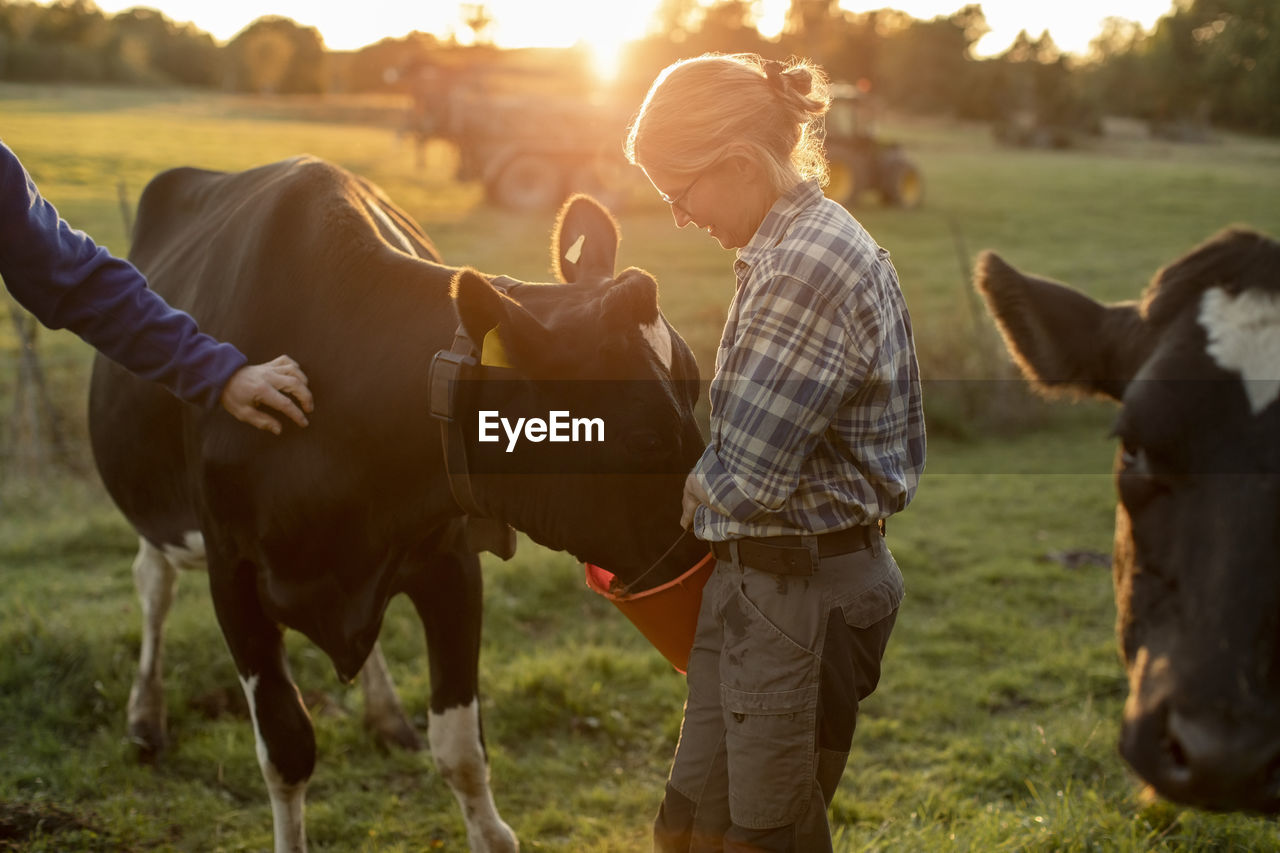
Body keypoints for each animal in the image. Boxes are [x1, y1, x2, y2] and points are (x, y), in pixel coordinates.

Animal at [87, 156, 711, 845]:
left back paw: (385, 716)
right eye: (644, 437)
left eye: (697, 389)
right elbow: (286, 748)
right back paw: (145, 716)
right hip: (157, 509)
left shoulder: (449, 561)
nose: (712, 562)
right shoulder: (234, 573)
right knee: (154, 584)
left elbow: (460, 749)